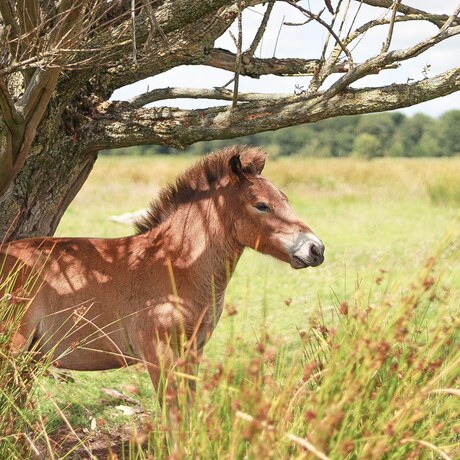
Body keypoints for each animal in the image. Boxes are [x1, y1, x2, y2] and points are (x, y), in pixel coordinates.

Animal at [0, 146, 324, 398]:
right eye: (261, 205)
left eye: (285, 198)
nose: (315, 249)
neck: (175, 263)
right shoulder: (158, 354)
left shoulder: (193, 352)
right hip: (14, 348)